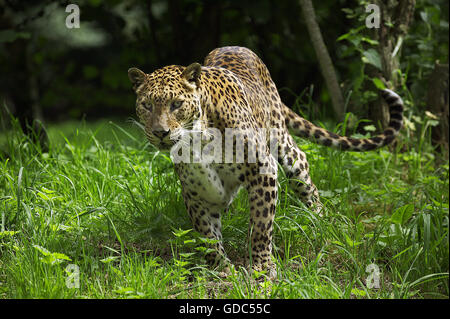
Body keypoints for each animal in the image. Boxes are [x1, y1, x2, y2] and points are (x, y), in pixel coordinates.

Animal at [127, 46, 404, 278]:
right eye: (146, 105)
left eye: (176, 104)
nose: (160, 132)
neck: (199, 139)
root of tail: (236, 46)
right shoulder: (197, 192)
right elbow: (208, 234)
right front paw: (222, 269)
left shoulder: (263, 170)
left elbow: (261, 225)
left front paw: (261, 267)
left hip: (283, 144)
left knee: (303, 170)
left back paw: (320, 220)